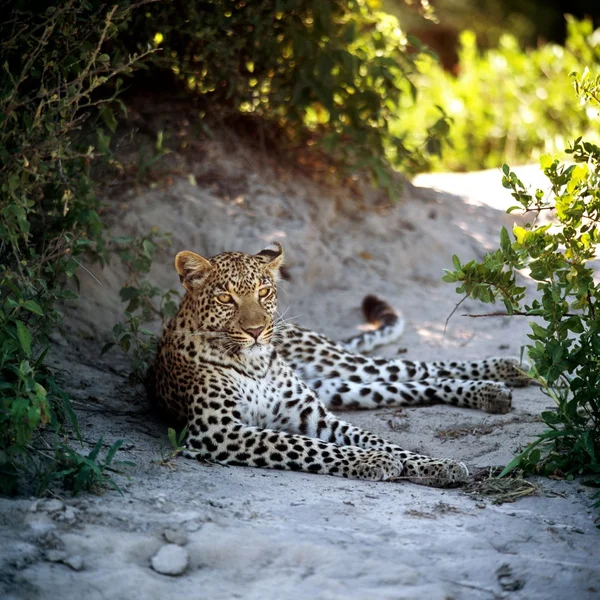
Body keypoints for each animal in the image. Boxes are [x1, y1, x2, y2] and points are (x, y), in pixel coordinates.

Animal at [149, 243, 528, 488]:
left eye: (264, 292)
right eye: (225, 298)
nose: (256, 331)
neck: (254, 364)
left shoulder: (314, 416)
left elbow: (377, 440)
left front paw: (437, 465)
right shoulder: (218, 431)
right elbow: (311, 446)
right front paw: (374, 462)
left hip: (336, 363)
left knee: (412, 368)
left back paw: (505, 372)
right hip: (341, 388)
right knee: (408, 383)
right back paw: (494, 389)